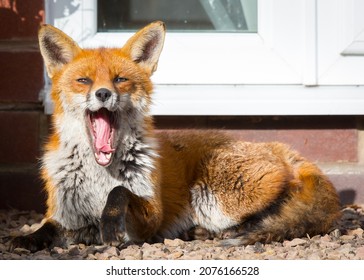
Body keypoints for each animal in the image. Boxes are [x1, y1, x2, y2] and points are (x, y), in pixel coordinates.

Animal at [10, 21, 342, 252]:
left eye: (120, 79)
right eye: (83, 80)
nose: (103, 93)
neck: (98, 176)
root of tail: (277, 146)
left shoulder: (148, 220)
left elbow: (120, 192)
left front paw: (109, 224)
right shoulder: (66, 214)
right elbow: (47, 228)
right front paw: (26, 239)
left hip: (216, 198)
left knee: (284, 205)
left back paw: (241, 229)